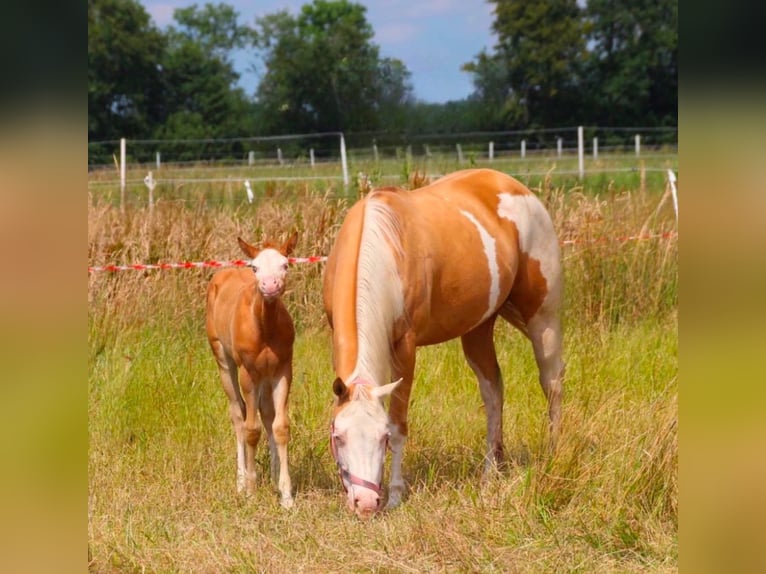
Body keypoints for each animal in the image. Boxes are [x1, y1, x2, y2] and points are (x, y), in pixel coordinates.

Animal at [207, 232, 300, 510]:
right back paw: (241, 480)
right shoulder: (248, 373)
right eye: (255, 267)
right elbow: (251, 429)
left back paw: (272, 474)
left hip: (265, 376)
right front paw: (249, 490)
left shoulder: (282, 370)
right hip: (224, 360)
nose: (269, 286)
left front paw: (286, 495)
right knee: (238, 414)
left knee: (266, 413)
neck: (265, 327)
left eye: (285, 265)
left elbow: (280, 426)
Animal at [320, 169, 568, 520]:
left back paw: (554, 452)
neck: (382, 247)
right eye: (338, 436)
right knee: (493, 390)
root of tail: (516, 188)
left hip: (542, 318)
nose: (366, 504)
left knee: (551, 383)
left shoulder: (405, 348)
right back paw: (491, 469)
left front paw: (396, 495)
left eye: (382, 438)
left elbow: (400, 422)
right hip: (478, 328)